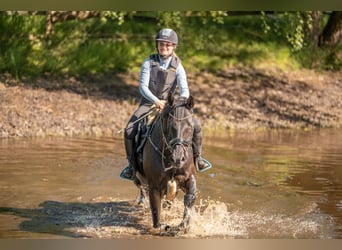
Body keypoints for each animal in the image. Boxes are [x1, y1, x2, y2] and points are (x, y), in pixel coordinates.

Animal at [134, 94, 198, 232]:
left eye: (190, 127)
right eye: (170, 126)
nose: (178, 158)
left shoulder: (187, 178)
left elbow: (190, 198)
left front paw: (182, 226)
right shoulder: (154, 185)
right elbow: (156, 211)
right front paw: (163, 227)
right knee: (141, 189)